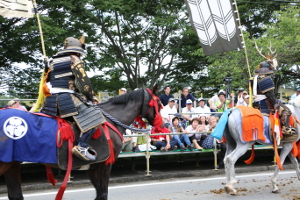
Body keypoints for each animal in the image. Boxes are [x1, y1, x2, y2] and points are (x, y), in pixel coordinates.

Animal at [0, 88, 162, 200]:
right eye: (159, 103)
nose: (159, 125)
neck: (111, 119)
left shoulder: (94, 166)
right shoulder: (104, 165)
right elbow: (102, 194)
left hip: (12, 164)